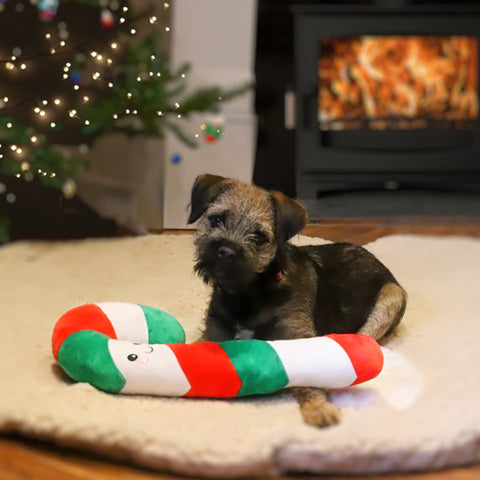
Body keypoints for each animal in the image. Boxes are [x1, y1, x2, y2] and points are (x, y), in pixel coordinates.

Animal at [186, 173, 406, 428]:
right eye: (217, 219)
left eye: (259, 237)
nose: (226, 251)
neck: (249, 292)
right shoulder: (213, 332)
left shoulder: (298, 336)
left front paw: (318, 408)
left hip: (391, 295)